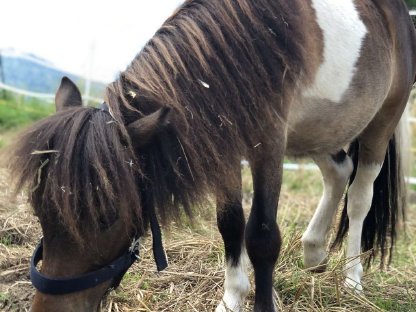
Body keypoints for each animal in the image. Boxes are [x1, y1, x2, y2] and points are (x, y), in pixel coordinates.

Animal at [9, 0, 416, 312]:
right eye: (39, 208)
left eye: (107, 217)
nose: (50, 309)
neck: (249, 45)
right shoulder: (224, 144)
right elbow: (230, 224)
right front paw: (232, 299)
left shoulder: (269, 145)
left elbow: (262, 236)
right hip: (321, 129)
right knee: (338, 172)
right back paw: (315, 252)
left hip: (381, 122)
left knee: (359, 196)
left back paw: (352, 279)